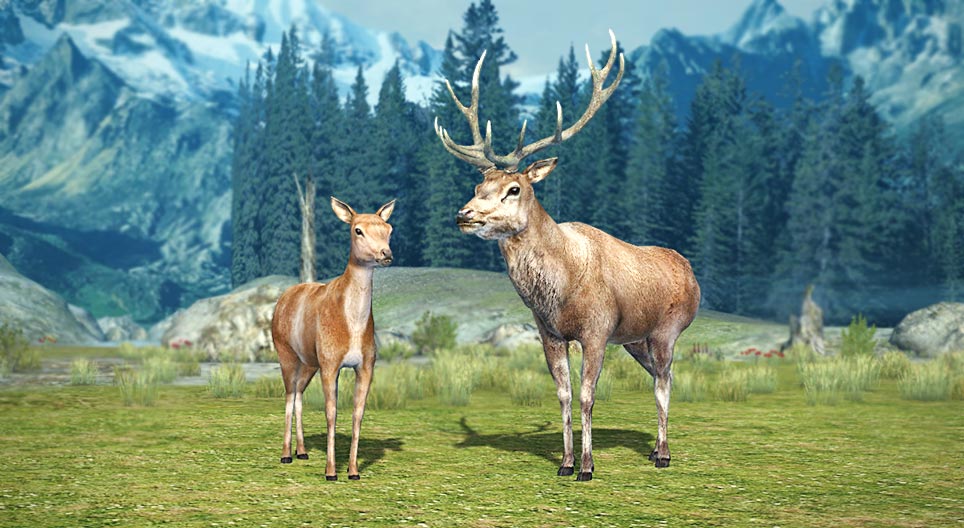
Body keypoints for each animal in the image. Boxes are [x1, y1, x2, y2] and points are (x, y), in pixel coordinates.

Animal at [271, 196, 395, 481]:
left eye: (389, 228)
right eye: (357, 230)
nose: (386, 254)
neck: (353, 328)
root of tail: (281, 300)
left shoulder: (367, 364)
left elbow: (358, 414)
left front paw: (353, 471)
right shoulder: (330, 363)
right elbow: (331, 413)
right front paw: (330, 472)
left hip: (309, 361)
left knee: (298, 393)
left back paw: (302, 451)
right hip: (285, 352)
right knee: (288, 394)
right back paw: (286, 454)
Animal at [434, 30, 701, 481]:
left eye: (514, 189)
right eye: (478, 185)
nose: (463, 215)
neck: (558, 292)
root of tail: (691, 271)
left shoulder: (597, 330)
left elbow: (589, 395)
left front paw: (587, 467)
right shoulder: (549, 333)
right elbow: (563, 394)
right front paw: (565, 462)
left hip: (668, 328)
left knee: (664, 380)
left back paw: (664, 453)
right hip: (635, 339)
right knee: (658, 376)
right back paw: (652, 449)